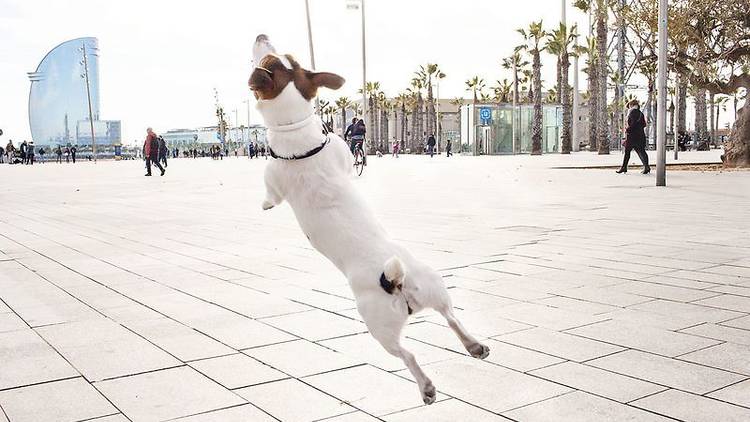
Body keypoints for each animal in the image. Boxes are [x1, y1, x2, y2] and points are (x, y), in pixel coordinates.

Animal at [250, 34, 490, 404]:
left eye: (267, 57)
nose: (261, 36)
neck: (296, 128)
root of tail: (396, 280)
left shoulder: (272, 178)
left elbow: (269, 196)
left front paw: (263, 205)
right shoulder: (342, 156)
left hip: (377, 325)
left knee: (408, 354)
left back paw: (426, 387)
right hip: (435, 286)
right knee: (451, 317)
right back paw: (474, 345)